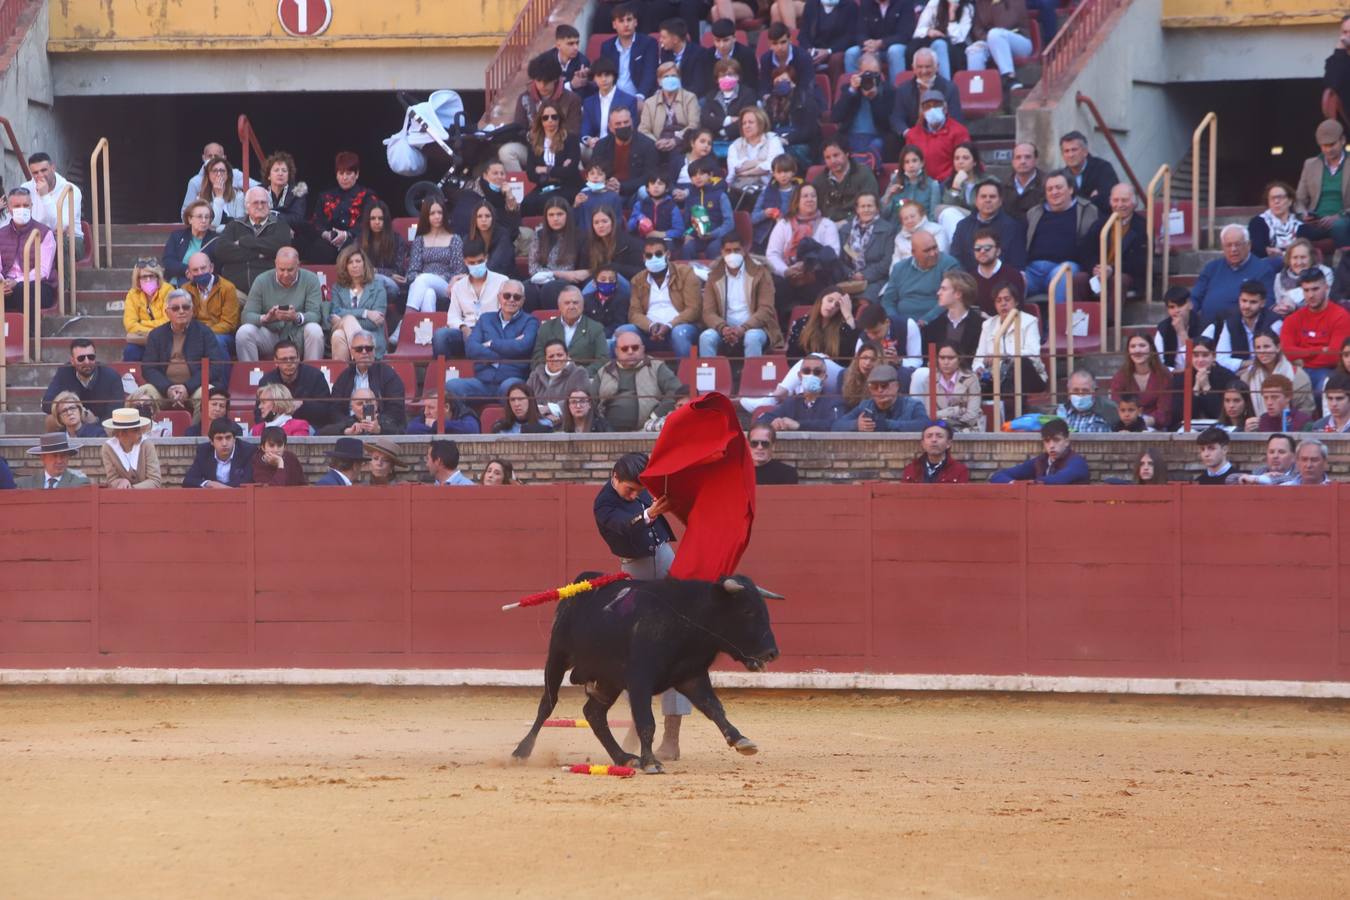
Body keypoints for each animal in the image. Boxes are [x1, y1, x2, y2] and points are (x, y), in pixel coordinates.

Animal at [510, 577, 783, 777]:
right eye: (747, 611)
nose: (772, 652)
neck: (689, 617)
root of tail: (579, 586)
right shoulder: (640, 680)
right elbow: (647, 722)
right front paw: (651, 762)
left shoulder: (691, 676)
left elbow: (714, 708)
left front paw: (740, 740)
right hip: (557, 658)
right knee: (547, 704)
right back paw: (521, 751)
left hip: (609, 681)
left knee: (594, 714)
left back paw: (623, 758)